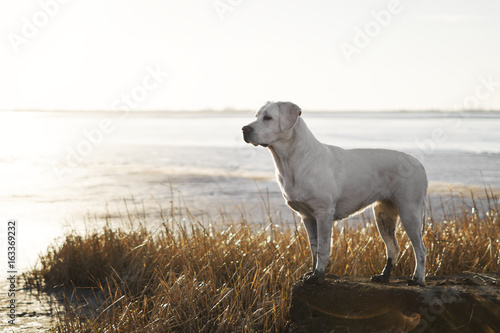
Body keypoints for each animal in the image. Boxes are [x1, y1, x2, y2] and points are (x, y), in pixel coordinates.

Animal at [243, 101, 430, 286]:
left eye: (268, 118)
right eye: (256, 116)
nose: (245, 129)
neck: (293, 161)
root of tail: (420, 164)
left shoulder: (323, 214)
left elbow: (323, 248)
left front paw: (318, 275)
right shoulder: (307, 217)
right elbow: (314, 248)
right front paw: (311, 272)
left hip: (409, 211)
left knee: (420, 249)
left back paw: (418, 279)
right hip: (383, 214)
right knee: (393, 247)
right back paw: (384, 276)